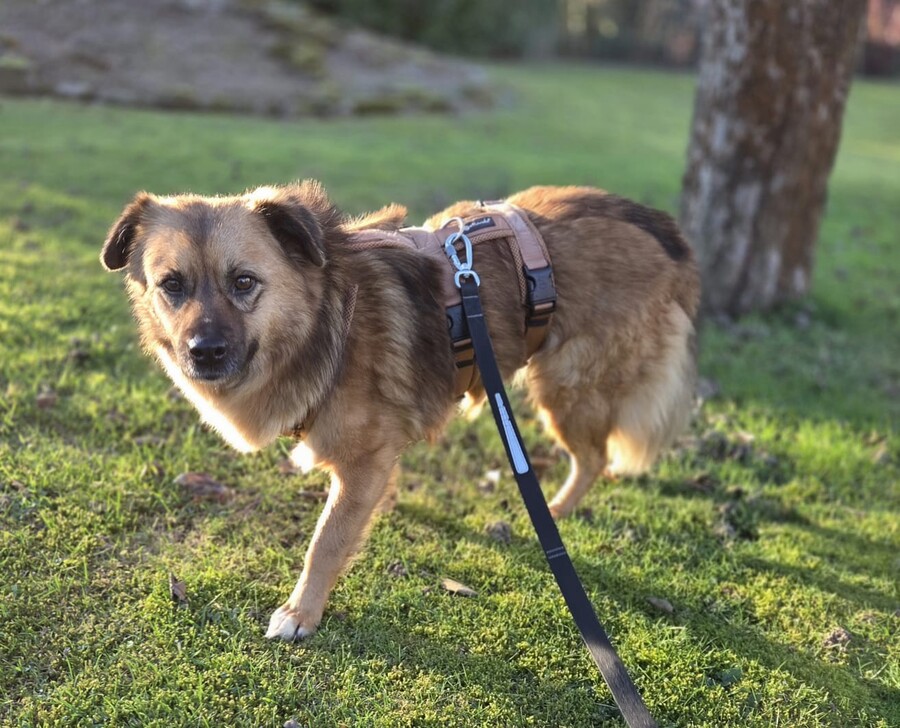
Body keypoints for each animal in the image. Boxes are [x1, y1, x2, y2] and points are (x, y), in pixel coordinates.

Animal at [101, 181, 700, 641]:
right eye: (172, 286)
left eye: (243, 282)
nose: (203, 352)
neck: (328, 322)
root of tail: (662, 230)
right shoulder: (375, 458)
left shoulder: (362, 460)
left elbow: (326, 541)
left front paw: (301, 612)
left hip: (565, 388)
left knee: (593, 457)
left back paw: (552, 511)